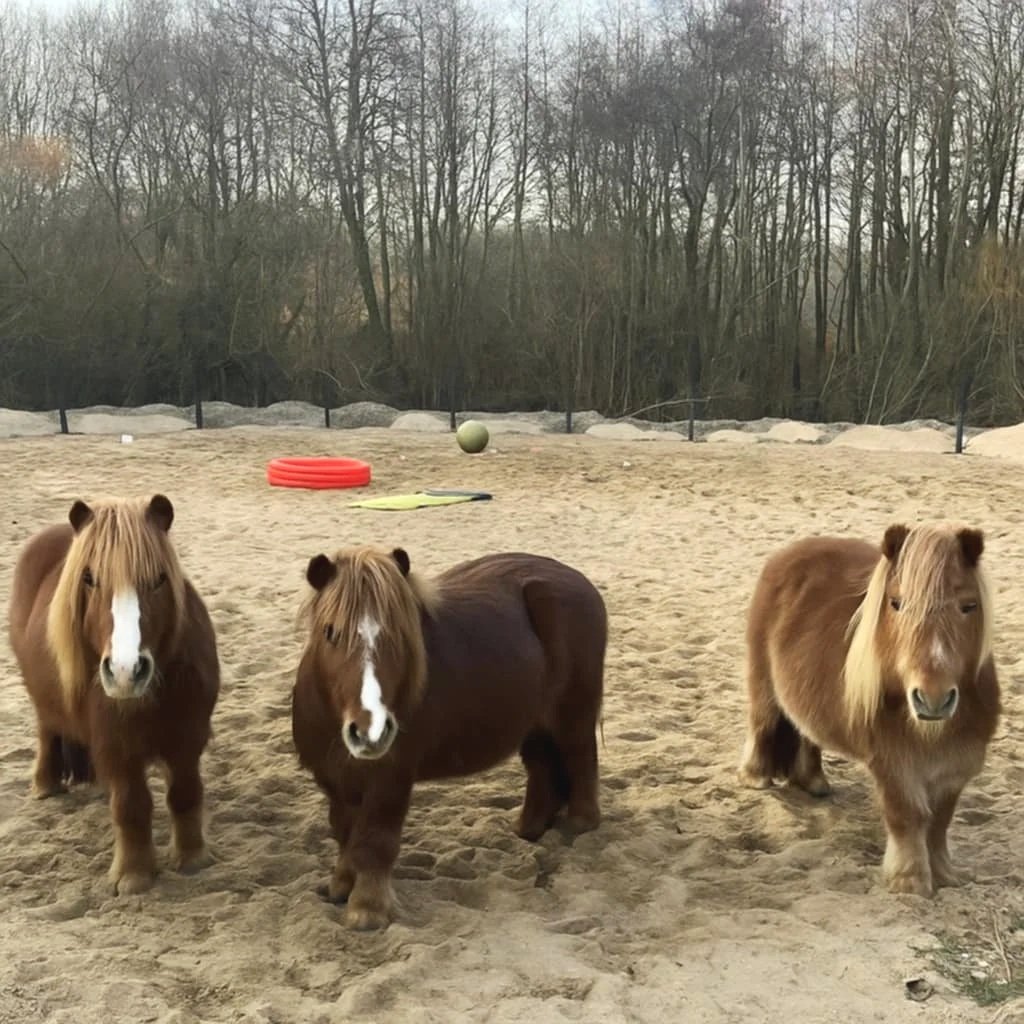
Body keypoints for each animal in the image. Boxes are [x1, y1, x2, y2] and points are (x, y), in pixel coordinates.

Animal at [7, 494, 220, 895]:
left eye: (159, 579)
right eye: (89, 578)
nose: (126, 671)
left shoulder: (188, 738)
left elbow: (185, 793)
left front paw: (192, 858)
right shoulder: (117, 747)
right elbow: (132, 805)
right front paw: (134, 875)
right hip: (41, 698)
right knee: (47, 730)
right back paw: (44, 784)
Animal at [291, 545, 607, 930]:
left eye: (398, 635)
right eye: (330, 632)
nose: (371, 731)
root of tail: (578, 581)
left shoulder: (390, 780)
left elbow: (375, 841)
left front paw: (367, 910)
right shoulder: (335, 780)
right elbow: (345, 835)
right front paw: (340, 887)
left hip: (572, 716)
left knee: (580, 757)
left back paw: (579, 824)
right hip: (533, 724)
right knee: (543, 769)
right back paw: (528, 830)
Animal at [738, 522, 1000, 897]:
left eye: (969, 605)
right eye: (896, 603)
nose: (932, 698)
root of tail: (789, 555)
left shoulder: (957, 765)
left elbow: (940, 821)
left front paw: (945, 874)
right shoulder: (893, 762)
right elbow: (908, 815)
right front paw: (909, 881)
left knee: (806, 731)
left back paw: (814, 782)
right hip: (762, 686)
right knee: (762, 724)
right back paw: (756, 777)